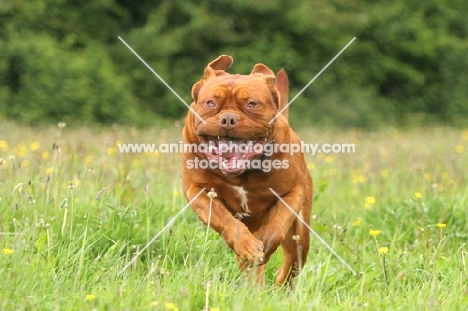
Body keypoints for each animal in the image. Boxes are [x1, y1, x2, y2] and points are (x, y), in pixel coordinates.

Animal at [181, 56, 312, 288]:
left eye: (252, 104)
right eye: (210, 103)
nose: (228, 119)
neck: (243, 173)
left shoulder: (293, 192)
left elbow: (279, 221)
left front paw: (266, 243)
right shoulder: (196, 191)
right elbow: (222, 217)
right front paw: (247, 245)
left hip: (301, 234)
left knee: (292, 262)